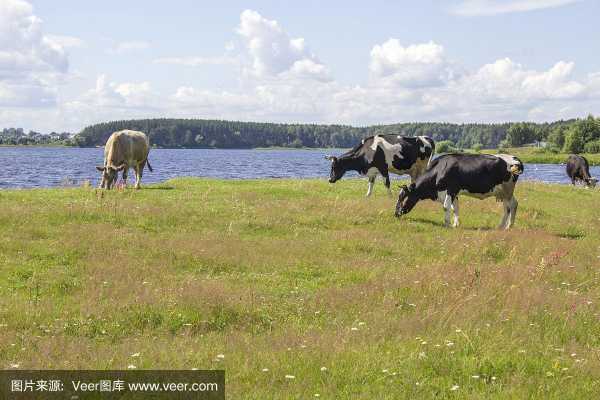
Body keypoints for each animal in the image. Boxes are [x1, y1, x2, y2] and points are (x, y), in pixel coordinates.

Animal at [394, 153, 524, 228]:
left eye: (403, 198)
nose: (396, 214)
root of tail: (515, 159)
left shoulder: (451, 189)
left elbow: (446, 207)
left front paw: (447, 224)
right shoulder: (454, 192)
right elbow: (455, 207)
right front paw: (456, 224)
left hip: (507, 190)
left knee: (511, 205)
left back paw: (508, 226)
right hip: (503, 192)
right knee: (509, 206)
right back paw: (502, 226)